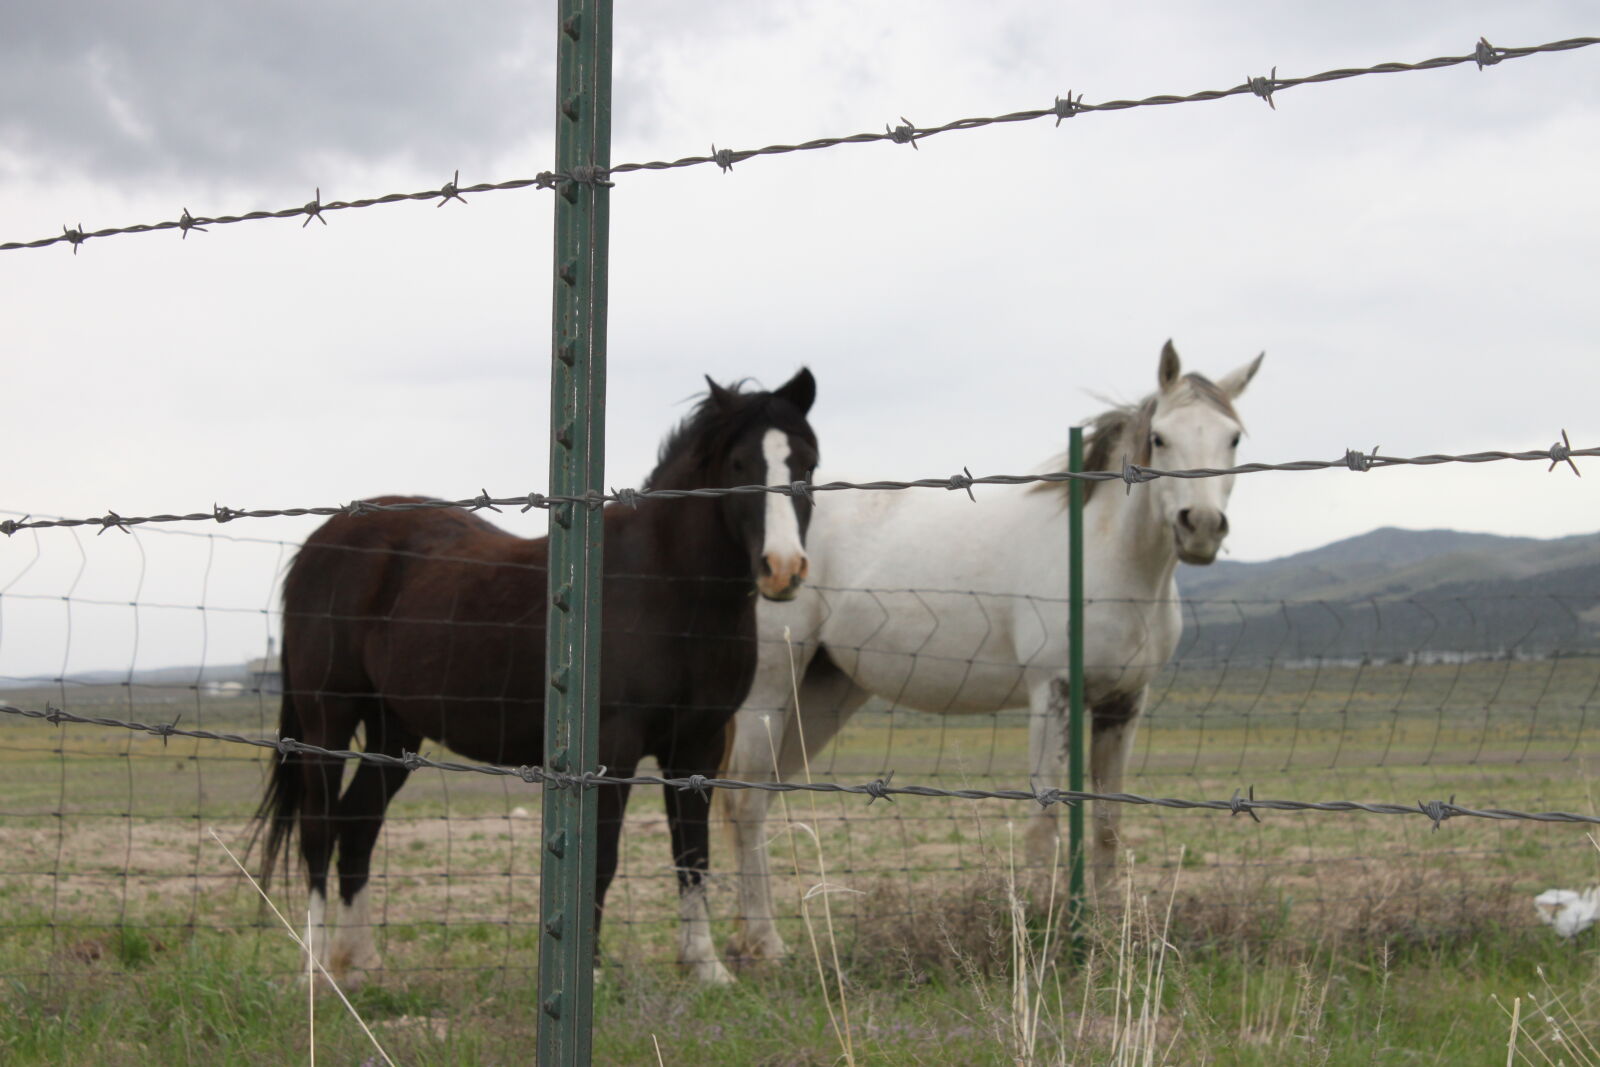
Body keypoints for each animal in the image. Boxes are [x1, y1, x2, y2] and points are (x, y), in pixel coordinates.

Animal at [255, 368, 819, 986]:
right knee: (319, 828)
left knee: (357, 826)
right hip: (327, 718)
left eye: (807, 463)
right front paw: (590, 973)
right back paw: (315, 970)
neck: (668, 588)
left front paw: (705, 966)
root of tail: (319, 544)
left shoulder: (698, 746)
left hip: (395, 729)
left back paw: (359, 963)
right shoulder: (613, 748)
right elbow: (602, 858)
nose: (782, 569)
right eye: (739, 465)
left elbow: (691, 855)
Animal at [719, 341, 1261, 963]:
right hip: (769, 687)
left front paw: (1104, 932)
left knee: (760, 796)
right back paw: (767, 943)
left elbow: (1107, 823)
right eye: (1161, 438)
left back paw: (748, 937)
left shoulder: (1124, 703)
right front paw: (1039, 933)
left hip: (822, 691)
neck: (1108, 557)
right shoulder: (1053, 692)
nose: (1201, 527)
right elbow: (1044, 822)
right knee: (746, 802)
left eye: (1233, 437)